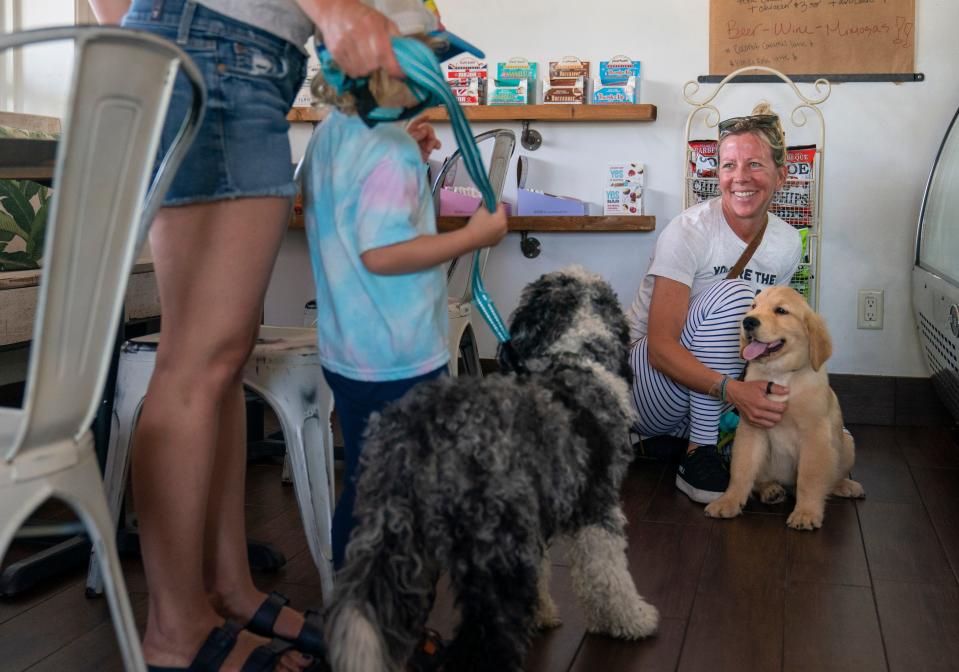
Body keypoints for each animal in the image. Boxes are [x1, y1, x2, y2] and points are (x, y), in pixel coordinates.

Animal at [326, 266, 656, 668]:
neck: (576, 353)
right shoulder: (597, 506)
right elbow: (608, 574)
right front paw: (632, 620)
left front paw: (542, 613)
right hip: (494, 560)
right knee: (480, 645)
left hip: (398, 546)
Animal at [700, 286, 868, 528]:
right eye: (753, 306)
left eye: (781, 311)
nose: (748, 321)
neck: (779, 374)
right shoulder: (750, 430)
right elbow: (741, 470)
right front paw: (728, 501)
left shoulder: (815, 435)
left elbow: (810, 477)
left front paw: (806, 513)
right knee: (760, 479)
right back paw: (770, 490)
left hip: (846, 444)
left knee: (830, 477)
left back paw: (845, 485)